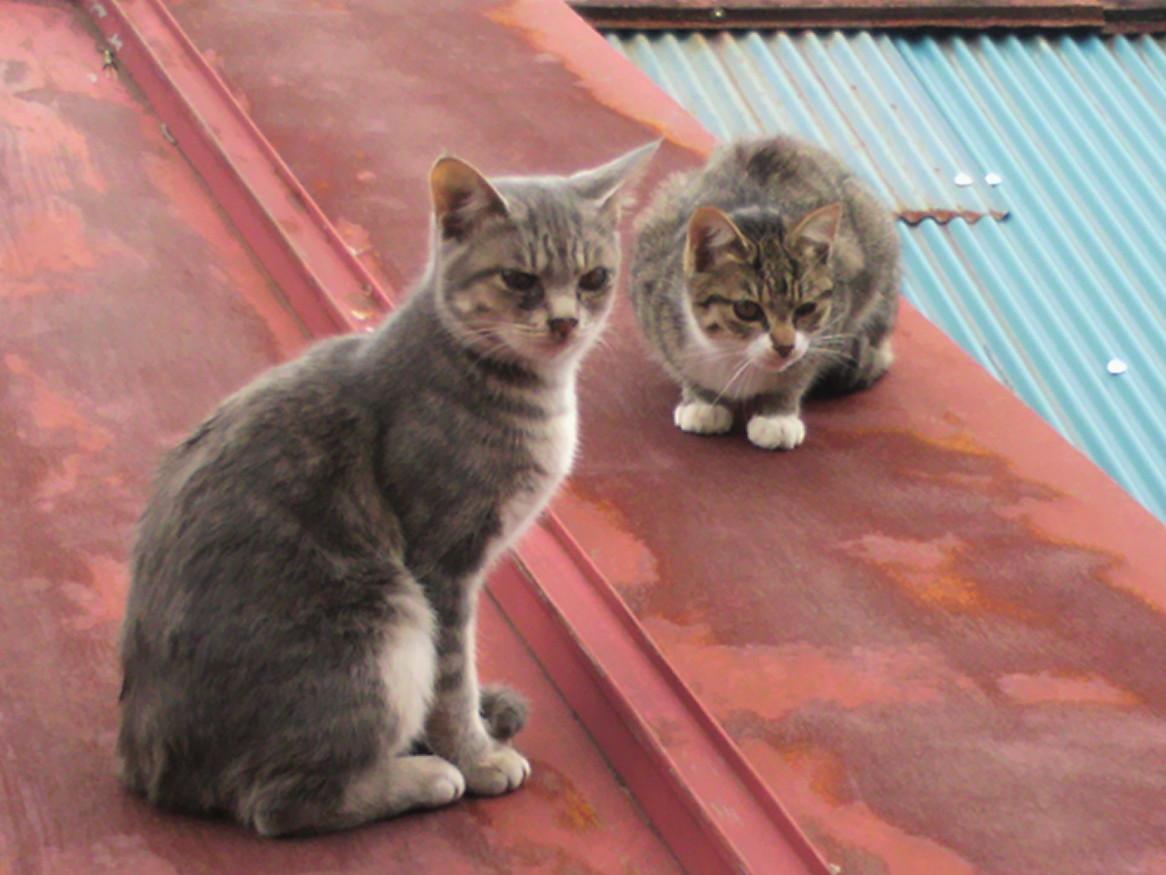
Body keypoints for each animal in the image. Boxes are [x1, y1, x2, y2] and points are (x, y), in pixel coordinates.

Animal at [117, 140, 658, 837]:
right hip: (385, 616)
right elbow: (452, 676)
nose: (566, 322)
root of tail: (146, 763)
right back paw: (423, 774)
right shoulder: (443, 563)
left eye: (594, 278)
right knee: (278, 801)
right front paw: (477, 756)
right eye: (520, 280)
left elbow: (459, 675)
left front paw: (482, 718)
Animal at [629, 136, 900, 450]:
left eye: (806, 308)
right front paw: (703, 400)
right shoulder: (651, 295)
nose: (784, 346)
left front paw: (777, 416)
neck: (734, 353)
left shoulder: (835, 317)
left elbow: (800, 372)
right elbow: (681, 364)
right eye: (747, 309)